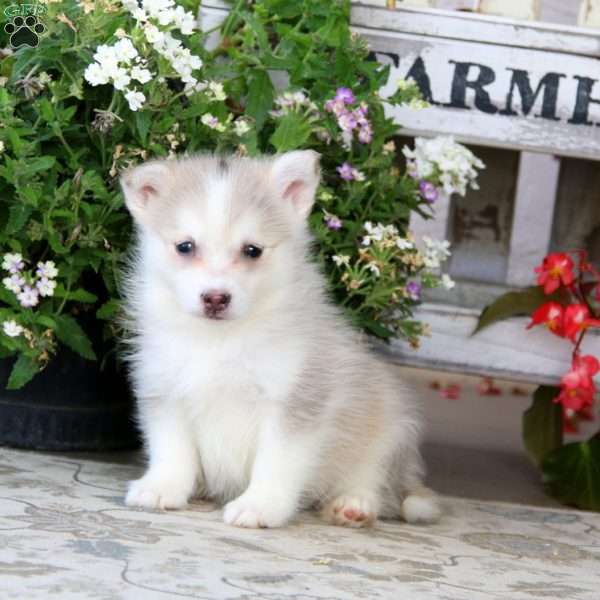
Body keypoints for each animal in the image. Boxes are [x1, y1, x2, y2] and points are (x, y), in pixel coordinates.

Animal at [120, 151, 440, 528]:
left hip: (388, 428)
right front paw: (162, 487)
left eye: (252, 250)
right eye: (185, 246)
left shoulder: (294, 402)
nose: (215, 298)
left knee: (375, 480)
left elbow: (276, 463)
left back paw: (353, 505)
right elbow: (172, 450)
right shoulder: (165, 391)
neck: (220, 340)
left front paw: (260, 505)